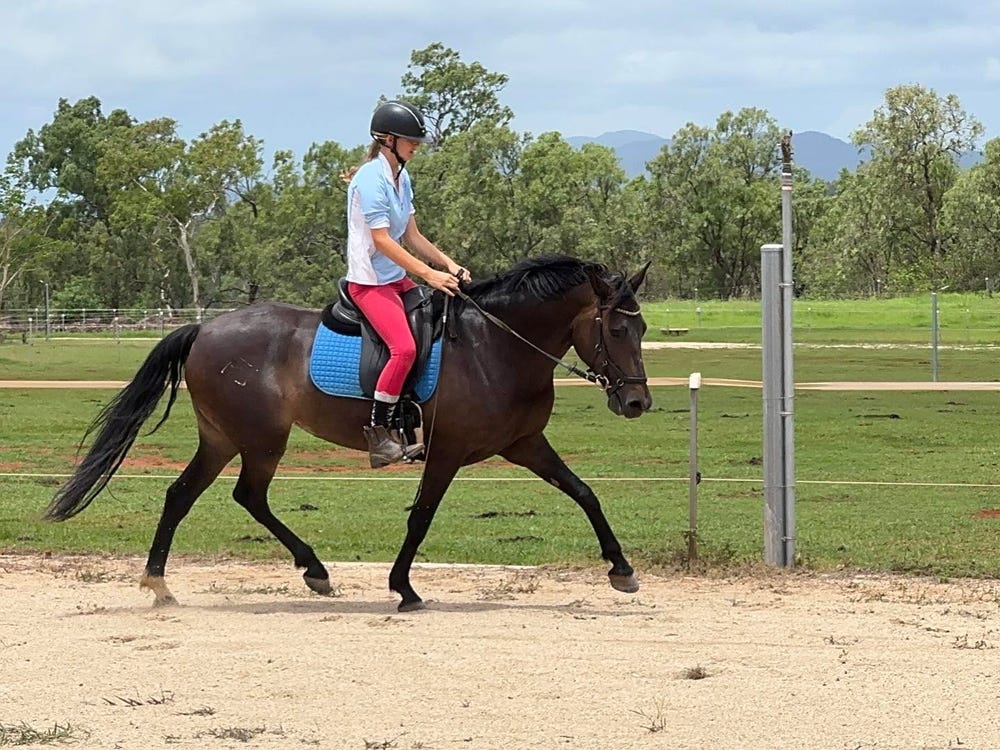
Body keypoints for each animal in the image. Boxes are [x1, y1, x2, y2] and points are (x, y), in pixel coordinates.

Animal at [45, 254, 653, 611]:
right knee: (247, 495)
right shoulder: (447, 451)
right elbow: (421, 517)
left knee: (185, 495)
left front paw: (621, 570)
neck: (494, 347)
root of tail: (205, 328)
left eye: (643, 326)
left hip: (223, 438)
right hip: (261, 439)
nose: (637, 402)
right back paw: (310, 571)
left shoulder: (524, 445)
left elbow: (584, 493)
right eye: (618, 328)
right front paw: (404, 589)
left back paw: (162, 583)